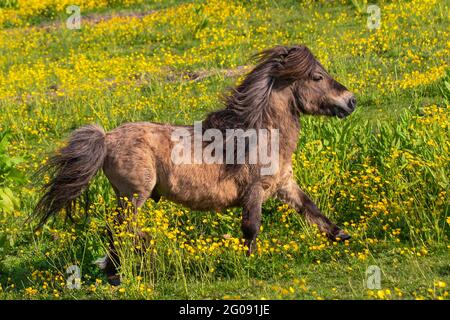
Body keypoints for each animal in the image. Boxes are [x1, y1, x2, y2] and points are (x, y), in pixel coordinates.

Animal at [33, 43, 356, 284]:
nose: (351, 101)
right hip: (135, 194)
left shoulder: (284, 186)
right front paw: (248, 263)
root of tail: (107, 137)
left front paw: (342, 235)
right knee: (121, 228)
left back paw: (116, 270)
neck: (258, 136)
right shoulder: (254, 191)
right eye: (317, 77)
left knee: (118, 230)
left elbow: (312, 210)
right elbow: (251, 228)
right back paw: (132, 259)